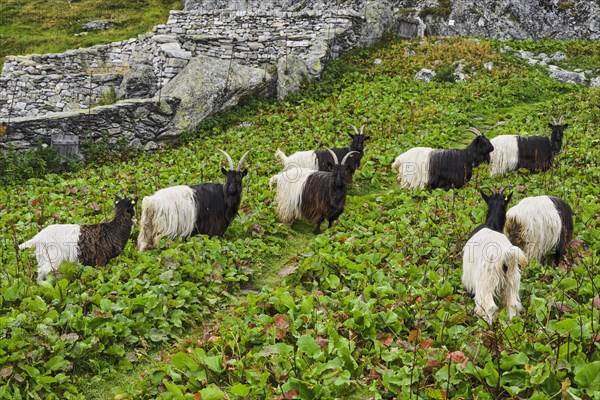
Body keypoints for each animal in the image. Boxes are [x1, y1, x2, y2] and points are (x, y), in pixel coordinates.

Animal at [462, 188, 528, 324]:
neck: (491, 225)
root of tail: (505, 255)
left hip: (486, 281)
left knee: (489, 307)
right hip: (512, 280)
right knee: (512, 305)